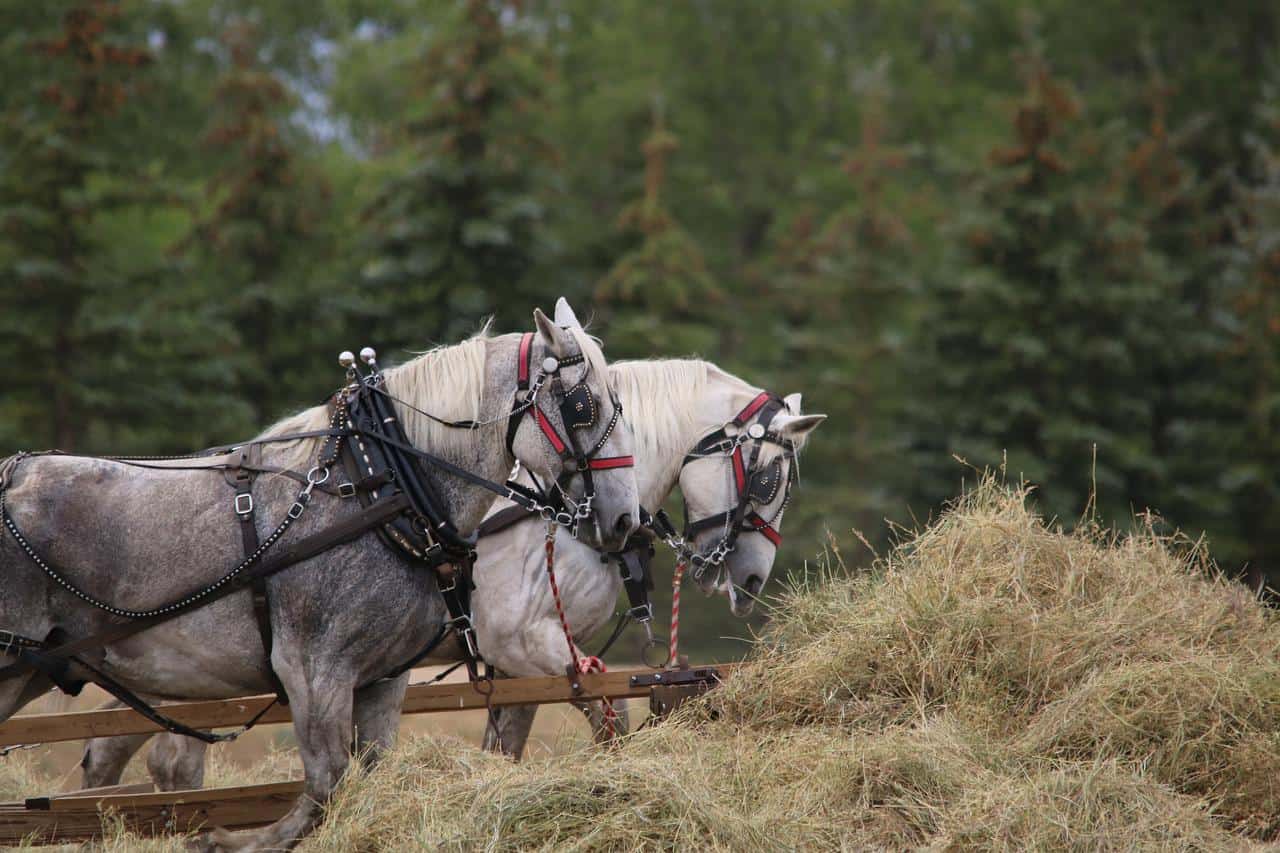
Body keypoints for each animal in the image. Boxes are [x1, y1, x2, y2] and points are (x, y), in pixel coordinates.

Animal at [0, 302, 640, 845]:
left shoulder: (383, 679)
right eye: (585, 405)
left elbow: (366, 776)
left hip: (36, 669)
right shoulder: (314, 669)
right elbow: (325, 786)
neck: (380, 487)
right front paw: (229, 840)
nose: (624, 517)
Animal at [80, 356, 824, 778]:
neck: (553, 506)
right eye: (767, 479)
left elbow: (513, 745)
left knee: (134, 752)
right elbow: (608, 716)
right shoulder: (526, 642)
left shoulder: (518, 667)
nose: (750, 580)